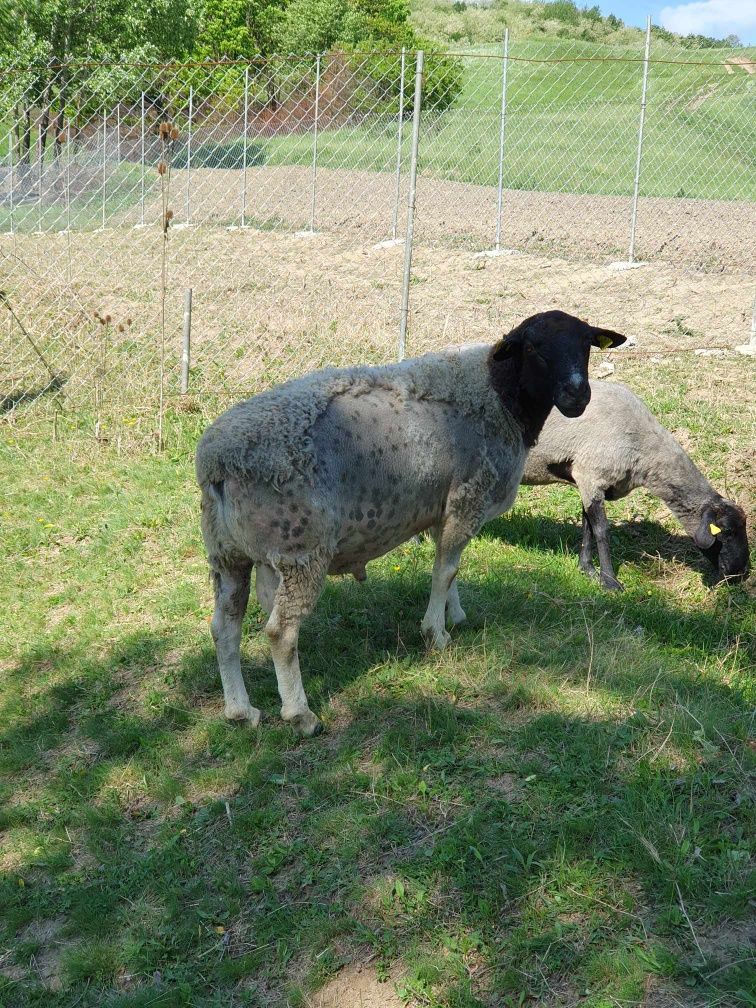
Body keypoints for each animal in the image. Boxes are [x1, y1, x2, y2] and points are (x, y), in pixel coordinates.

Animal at [196, 310, 628, 737]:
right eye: (535, 348)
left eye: (586, 343)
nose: (578, 395)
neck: (498, 394)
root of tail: (218, 462)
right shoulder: (467, 498)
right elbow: (444, 571)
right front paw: (436, 633)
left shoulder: (444, 507)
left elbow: (450, 569)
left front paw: (456, 616)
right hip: (301, 549)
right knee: (280, 632)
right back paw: (301, 715)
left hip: (231, 554)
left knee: (225, 627)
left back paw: (241, 710)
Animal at [520, 383, 753, 588]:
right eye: (727, 531)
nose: (741, 573)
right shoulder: (590, 475)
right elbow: (601, 531)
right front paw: (610, 581)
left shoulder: (588, 483)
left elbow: (588, 527)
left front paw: (587, 570)